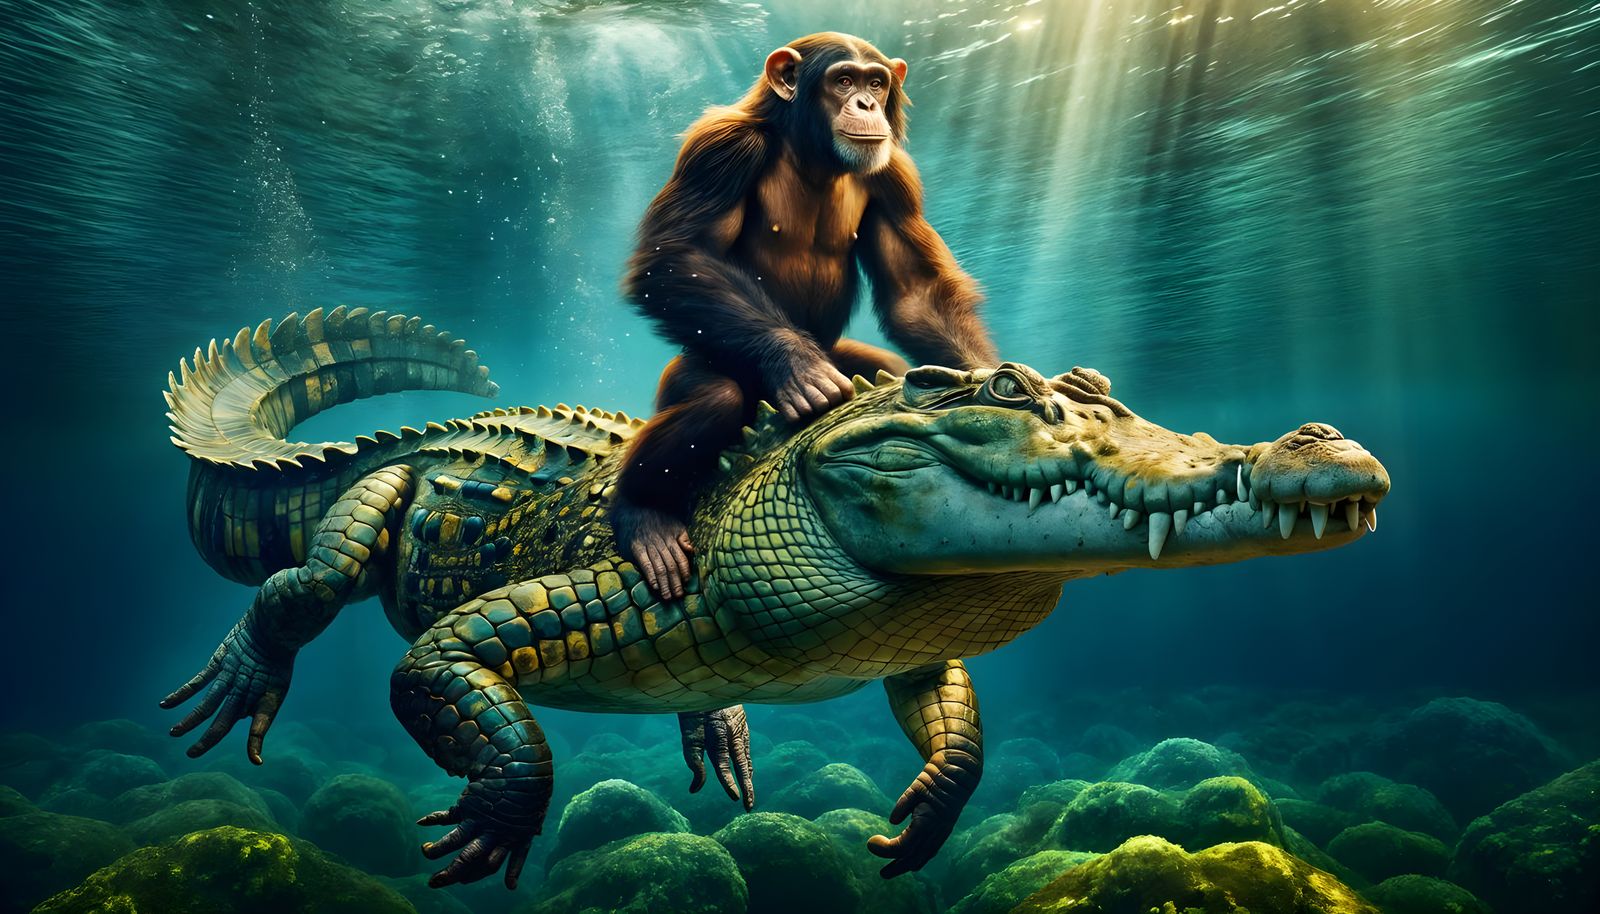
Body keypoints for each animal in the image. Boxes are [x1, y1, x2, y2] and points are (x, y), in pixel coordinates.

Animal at [613, 31, 999, 600]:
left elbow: (915, 290)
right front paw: (799, 366)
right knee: (715, 398)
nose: (866, 104)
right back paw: (643, 516)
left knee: (890, 367)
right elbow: (677, 255)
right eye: (843, 80)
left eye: (876, 82)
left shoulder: (896, 177)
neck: (814, 154)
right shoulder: (719, 149)